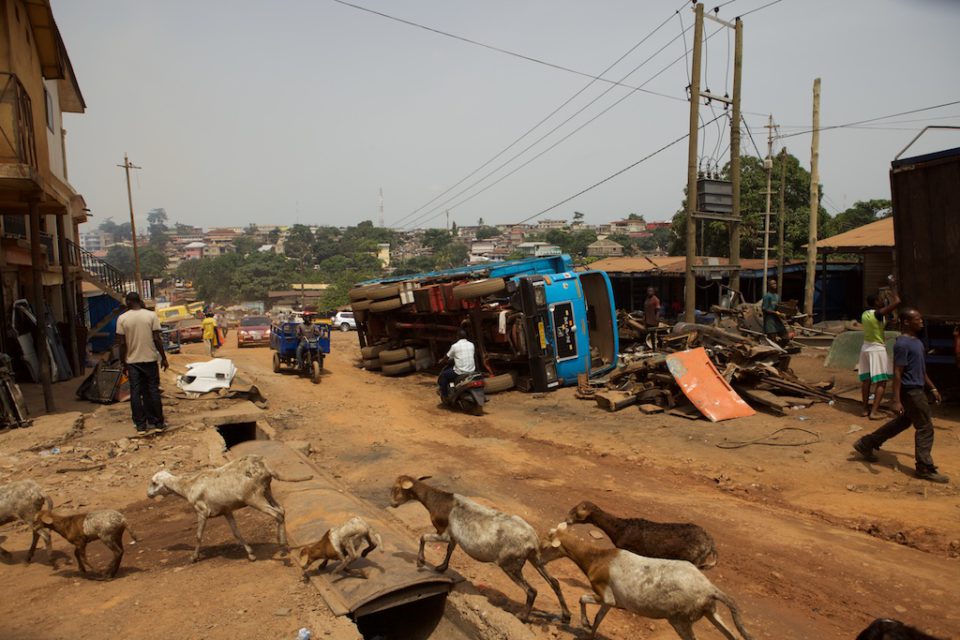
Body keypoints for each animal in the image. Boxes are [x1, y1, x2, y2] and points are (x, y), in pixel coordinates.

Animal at [144, 456, 310, 560]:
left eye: (154, 482)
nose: (148, 494)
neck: (188, 487)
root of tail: (265, 467)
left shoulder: (202, 511)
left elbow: (198, 536)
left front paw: (194, 557)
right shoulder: (226, 511)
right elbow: (236, 533)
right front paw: (251, 554)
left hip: (254, 497)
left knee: (277, 514)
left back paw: (282, 547)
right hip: (266, 491)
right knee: (282, 510)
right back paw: (284, 545)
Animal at [390, 478, 568, 624]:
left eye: (397, 489)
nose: (392, 504)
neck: (438, 499)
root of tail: (532, 540)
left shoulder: (444, 531)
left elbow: (423, 537)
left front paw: (420, 562)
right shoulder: (454, 535)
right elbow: (449, 549)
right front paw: (441, 567)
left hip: (510, 563)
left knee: (532, 590)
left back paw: (522, 616)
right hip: (534, 558)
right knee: (554, 582)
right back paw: (566, 617)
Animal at [544, 524, 752, 636]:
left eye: (547, 545)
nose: (540, 557)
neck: (598, 559)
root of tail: (709, 588)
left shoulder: (605, 594)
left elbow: (582, 599)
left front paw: (584, 623)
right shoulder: (613, 602)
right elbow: (598, 619)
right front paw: (589, 629)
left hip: (680, 620)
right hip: (710, 611)